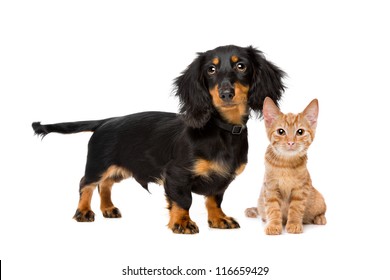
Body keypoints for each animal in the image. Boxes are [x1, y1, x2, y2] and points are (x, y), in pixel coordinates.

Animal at [32, 45, 284, 234]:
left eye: (241, 66)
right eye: (211, 69)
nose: (226, 93)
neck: (220, 128)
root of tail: (107, 121)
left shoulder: (222, 178)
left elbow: (214, 199)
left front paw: (218, 219)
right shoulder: (176, 174)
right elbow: (183, 200)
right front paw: (182, 223)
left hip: (118, 169)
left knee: (106, 185)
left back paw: (108, 208)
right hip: (98, 164)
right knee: (86, 183)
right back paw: (84, 212)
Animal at [247, 97, 326, 235]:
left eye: (300, 132)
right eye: (281, 131)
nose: (290, 142)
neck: (285, 164)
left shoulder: (301, 188)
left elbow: (296, 208)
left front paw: (294, 224)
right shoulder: (270, 187)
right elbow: (273, 208)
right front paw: (273, 225)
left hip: (318, 200)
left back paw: (319, 218)